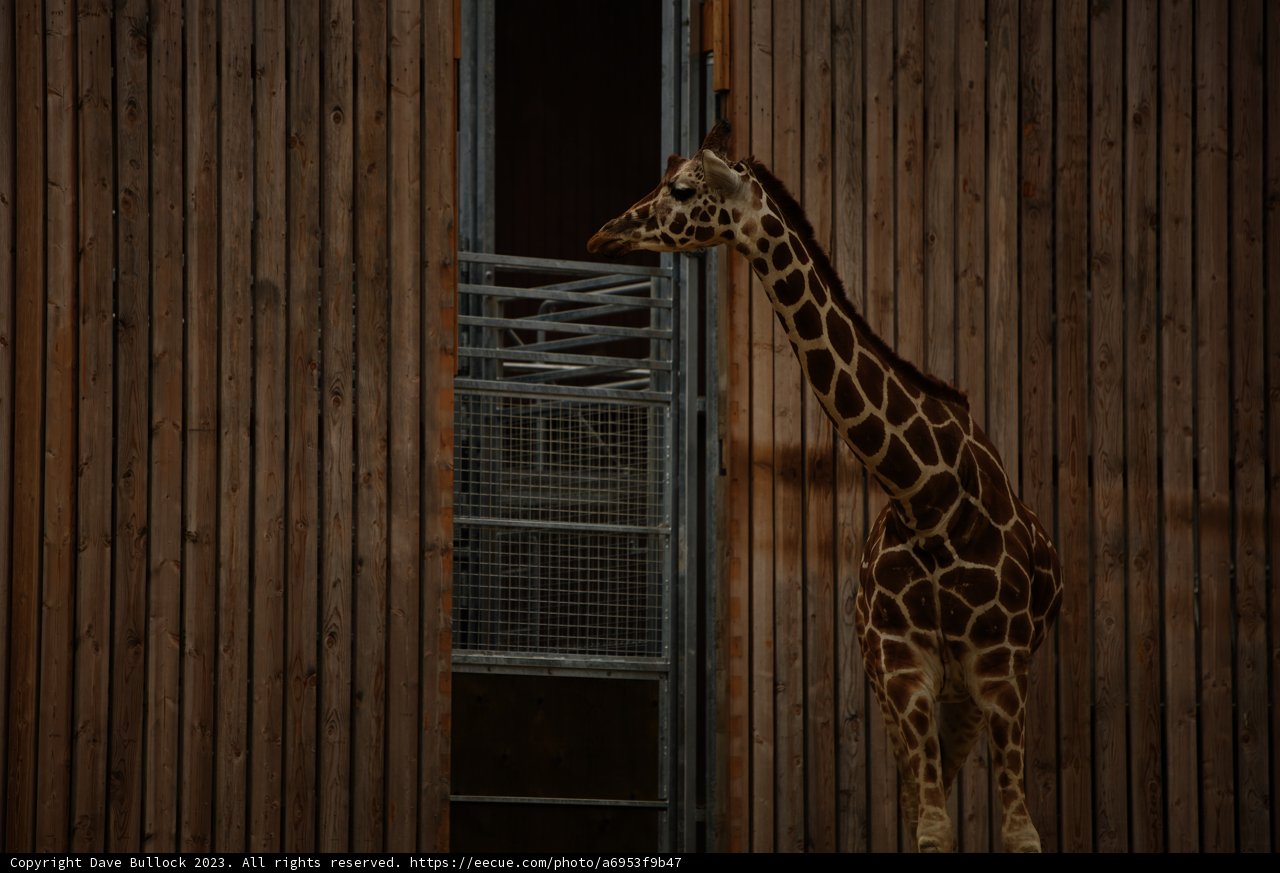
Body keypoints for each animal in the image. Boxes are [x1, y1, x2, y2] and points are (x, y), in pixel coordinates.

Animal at [588, 120, 1062, 853]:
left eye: (683, 188)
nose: (603, 235)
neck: (932, 499)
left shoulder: (1002, 671)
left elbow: (1018, 834)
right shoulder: (903, 672)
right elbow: (930, 829)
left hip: (969, 695)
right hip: (912, 693)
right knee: (915, 802)